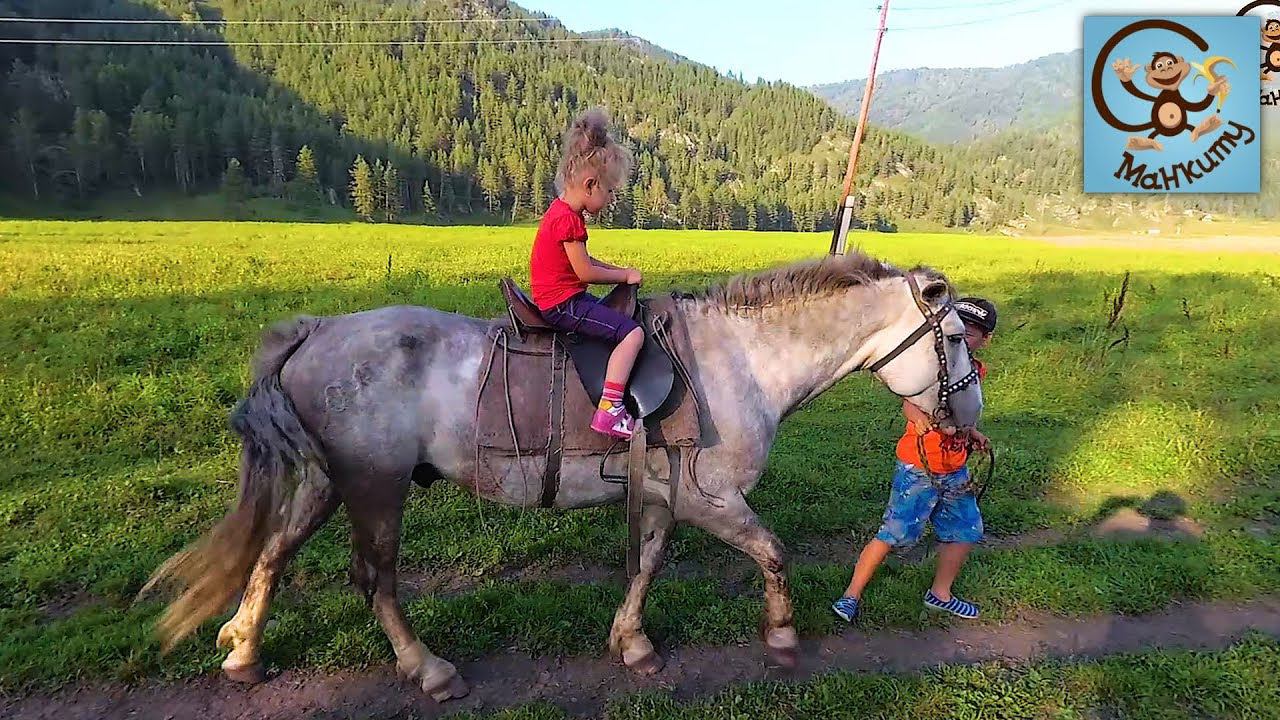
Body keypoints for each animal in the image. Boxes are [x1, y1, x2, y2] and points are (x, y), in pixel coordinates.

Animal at [140, 250, 983, 702]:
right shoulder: (711, 497)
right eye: (952, 340)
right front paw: (780, 636)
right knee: (373, 579)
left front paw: (632, 643)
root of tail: (317, 331)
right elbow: (771, 553)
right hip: (376, 487)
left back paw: (243, 647)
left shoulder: (661, 497)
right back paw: (428, 669)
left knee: (273, 551)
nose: (967, 424)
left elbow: (646, 566)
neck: (743, 360)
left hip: (328, 481)